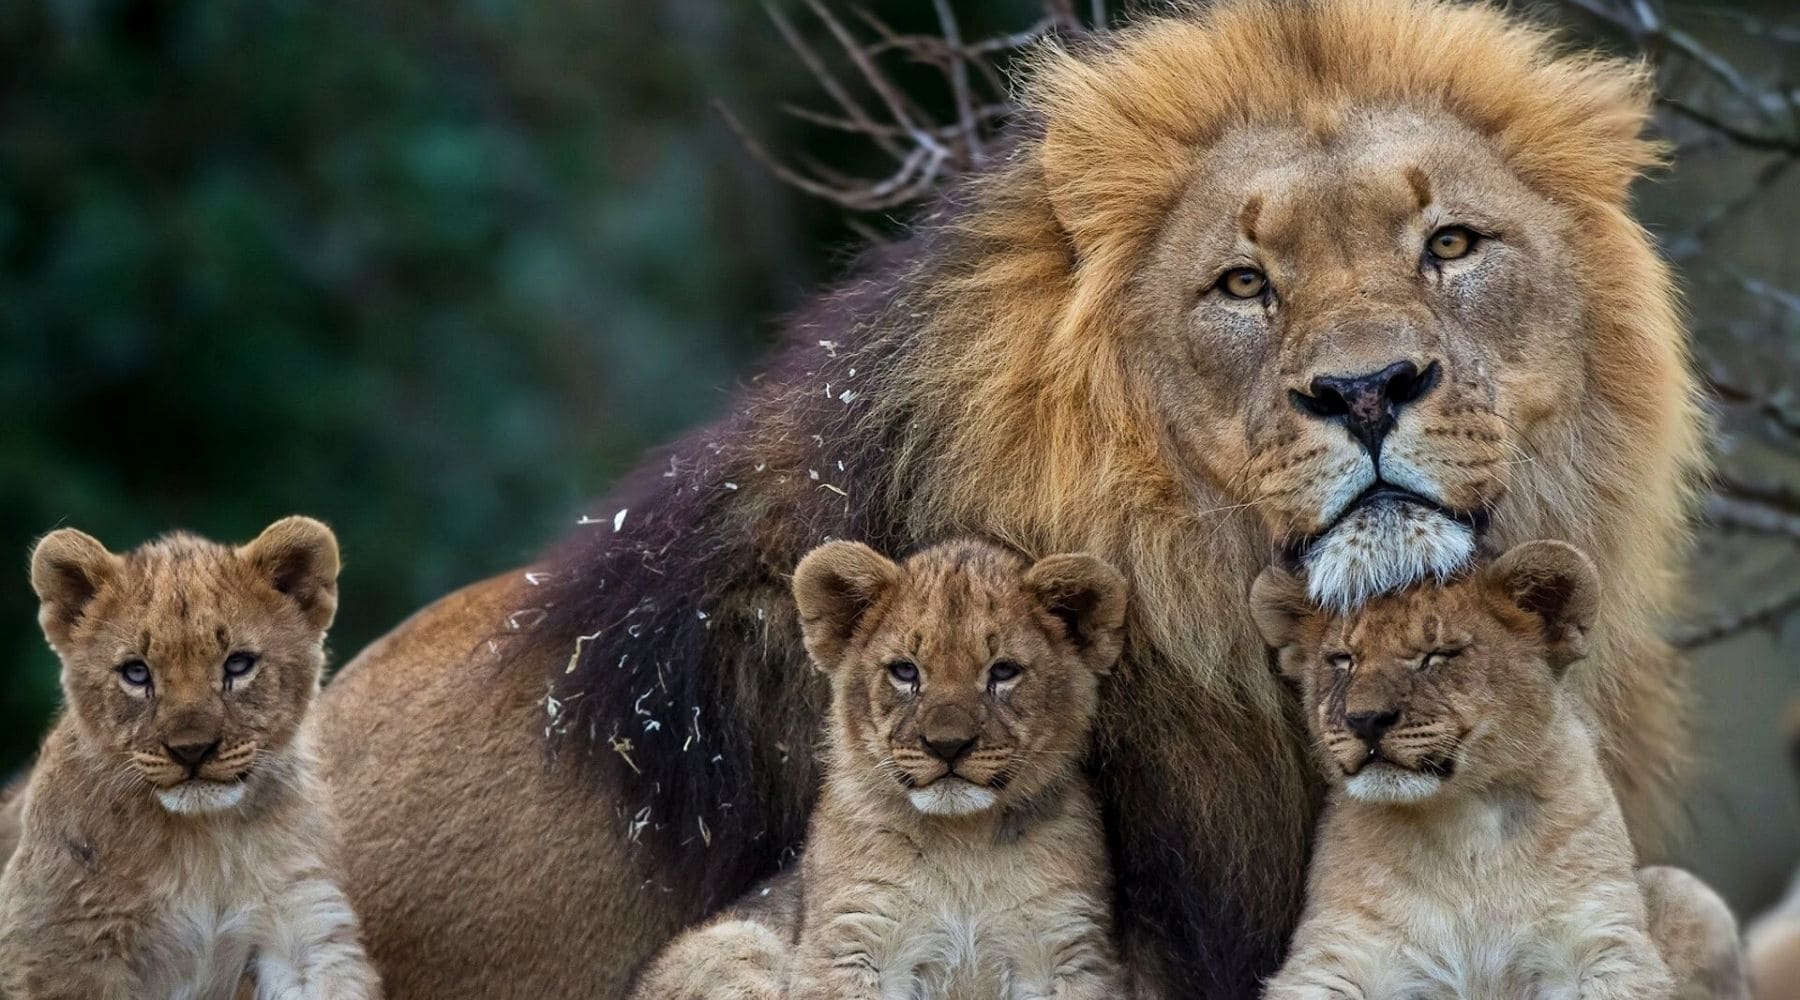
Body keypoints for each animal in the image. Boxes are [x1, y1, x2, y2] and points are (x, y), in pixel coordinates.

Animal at [0, 519, 381, 1000]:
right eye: (136, 672)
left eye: (238, 664)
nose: (192, 750)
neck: (202, 841)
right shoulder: (57, 948)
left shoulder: (301, 918)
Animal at [631, 539, 1127, 1000]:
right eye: (905, 671)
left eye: (1003, 671)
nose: (948, 746)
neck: (965, 843)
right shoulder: (849, 941)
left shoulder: (1070, 950)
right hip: (733, 941)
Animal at [1252, 542, 1743, 999]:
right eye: (1342, 660)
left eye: (1438, 655)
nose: (1365, 720)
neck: (1464, 824)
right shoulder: (1339, 955)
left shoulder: (1601, 942)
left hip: (1689, 894)